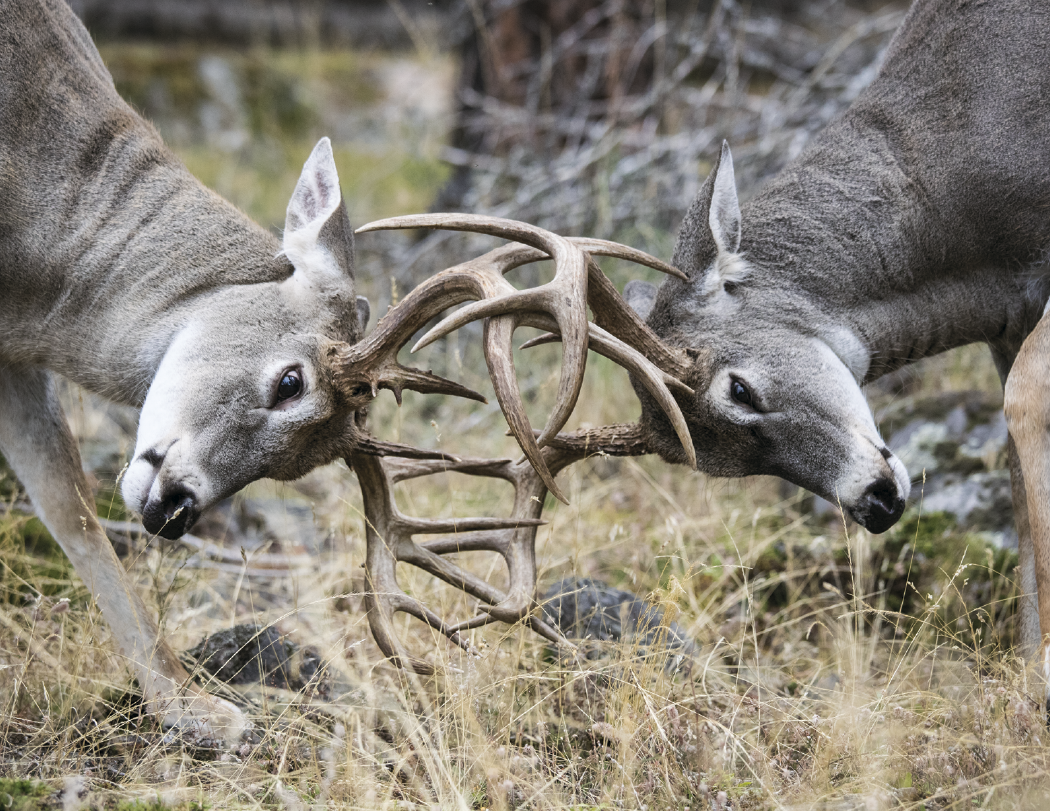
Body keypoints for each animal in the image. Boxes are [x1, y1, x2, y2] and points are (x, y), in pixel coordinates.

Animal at [1, 0, 700, 743]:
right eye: (291, 381)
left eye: (295, 467)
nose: (173, 510)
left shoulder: (16, 358)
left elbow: (70, 507)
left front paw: (194, 708)